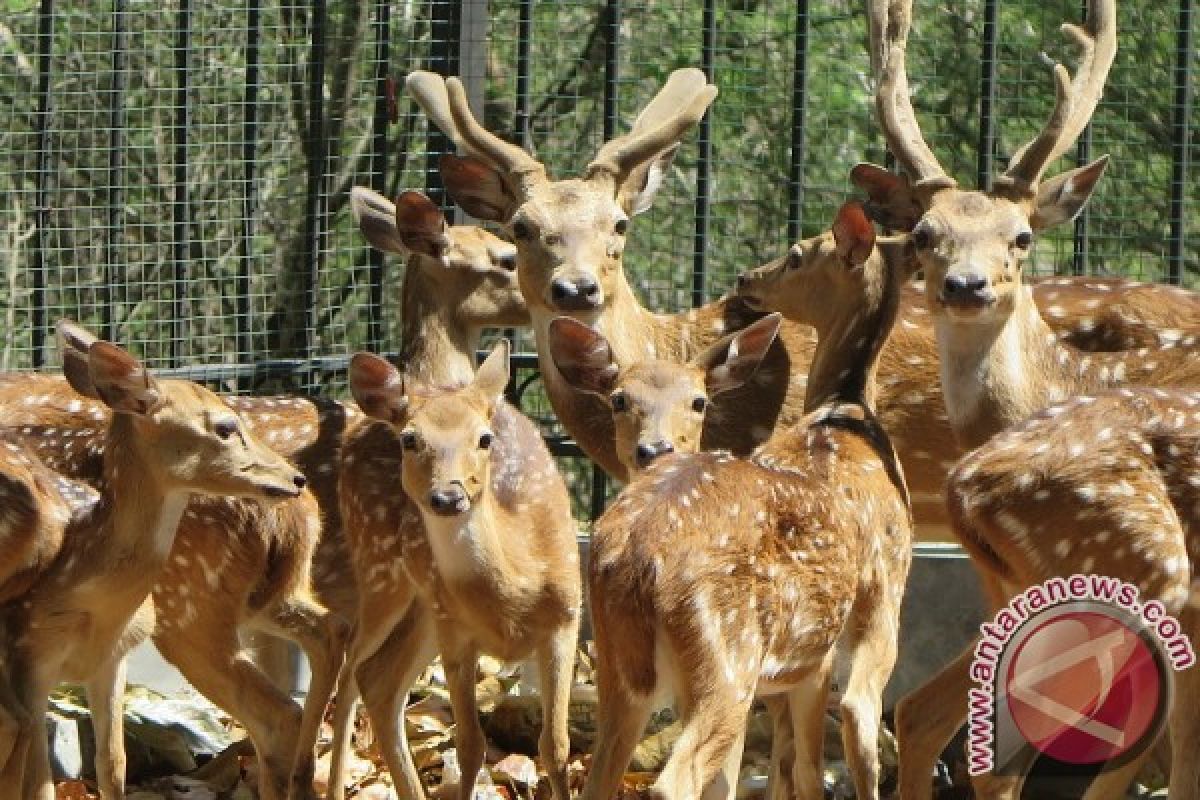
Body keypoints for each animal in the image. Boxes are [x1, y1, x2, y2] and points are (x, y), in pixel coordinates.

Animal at [0, 321, 307, 800]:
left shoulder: (110, 660)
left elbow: (112, 764)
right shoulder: (27, 656)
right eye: (225, 426)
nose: (295, 477)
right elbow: (44, 780)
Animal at [324, 343, 576, 800]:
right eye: (409, 439)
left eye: (484, 438)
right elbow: (470, 745)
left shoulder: (567, 618)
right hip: (380, 571)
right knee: (352, 668)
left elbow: (556, 746)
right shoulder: (456, 635)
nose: (447, 495)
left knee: (376, 680)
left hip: (423, 608)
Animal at [578, 201, 907, 800]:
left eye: (797, 253)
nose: (746, 279)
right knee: (680, 778)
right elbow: (826, 750)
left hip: (618, 661)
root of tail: (634, 557)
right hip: (727, 658)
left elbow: (786, 763)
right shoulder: (877, 597)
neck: (846, 414)